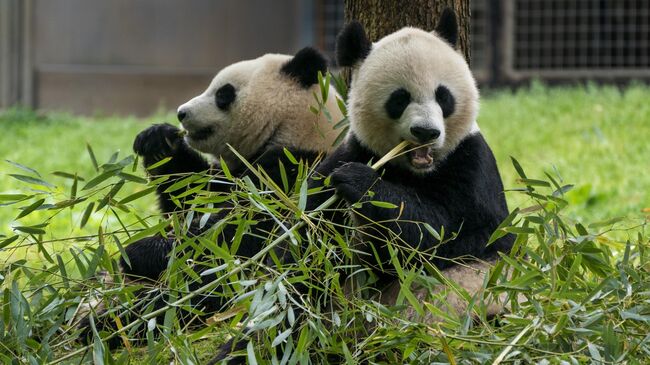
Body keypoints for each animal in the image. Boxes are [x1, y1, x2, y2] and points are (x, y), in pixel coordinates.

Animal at [78, 47, 344, 346]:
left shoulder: (292, 175)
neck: (297, 129)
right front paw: (158, 140)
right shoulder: (229, 173)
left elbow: (233, 237)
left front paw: (138, 252)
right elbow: (189, 198)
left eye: (223, 94)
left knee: (187, 299)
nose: (181, 113)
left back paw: (105, 326)